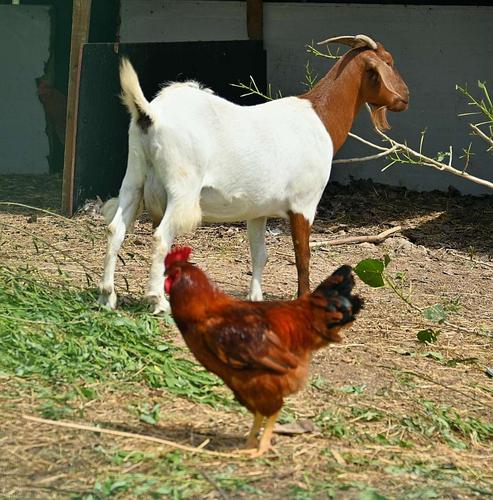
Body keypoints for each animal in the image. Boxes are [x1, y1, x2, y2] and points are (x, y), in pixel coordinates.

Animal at [99, 34, 408, 312]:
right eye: (389, 61)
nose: (405, 97)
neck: (319, 119)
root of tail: (150, 115)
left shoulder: (258, 210)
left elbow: (260, 254)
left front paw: (255, 298)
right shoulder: (304, 204)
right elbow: (303, 256)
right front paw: (304, 299)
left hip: (134, 179)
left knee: (116, 229)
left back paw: (107, 296)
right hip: (181, 189)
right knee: (161, 237)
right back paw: (158, 301)